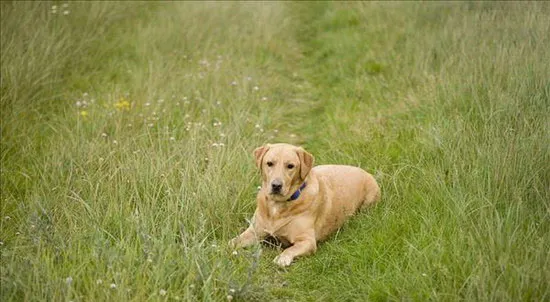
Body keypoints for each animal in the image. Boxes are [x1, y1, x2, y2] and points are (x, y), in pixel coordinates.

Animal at [231, 143, 382, 266]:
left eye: (290, 166)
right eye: (269, 163)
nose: (276, 185)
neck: (278, 206)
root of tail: (363, 170)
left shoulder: (307, 241)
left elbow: (290, 249)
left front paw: (282, 258)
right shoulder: (254, 231)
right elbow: (233, 242)